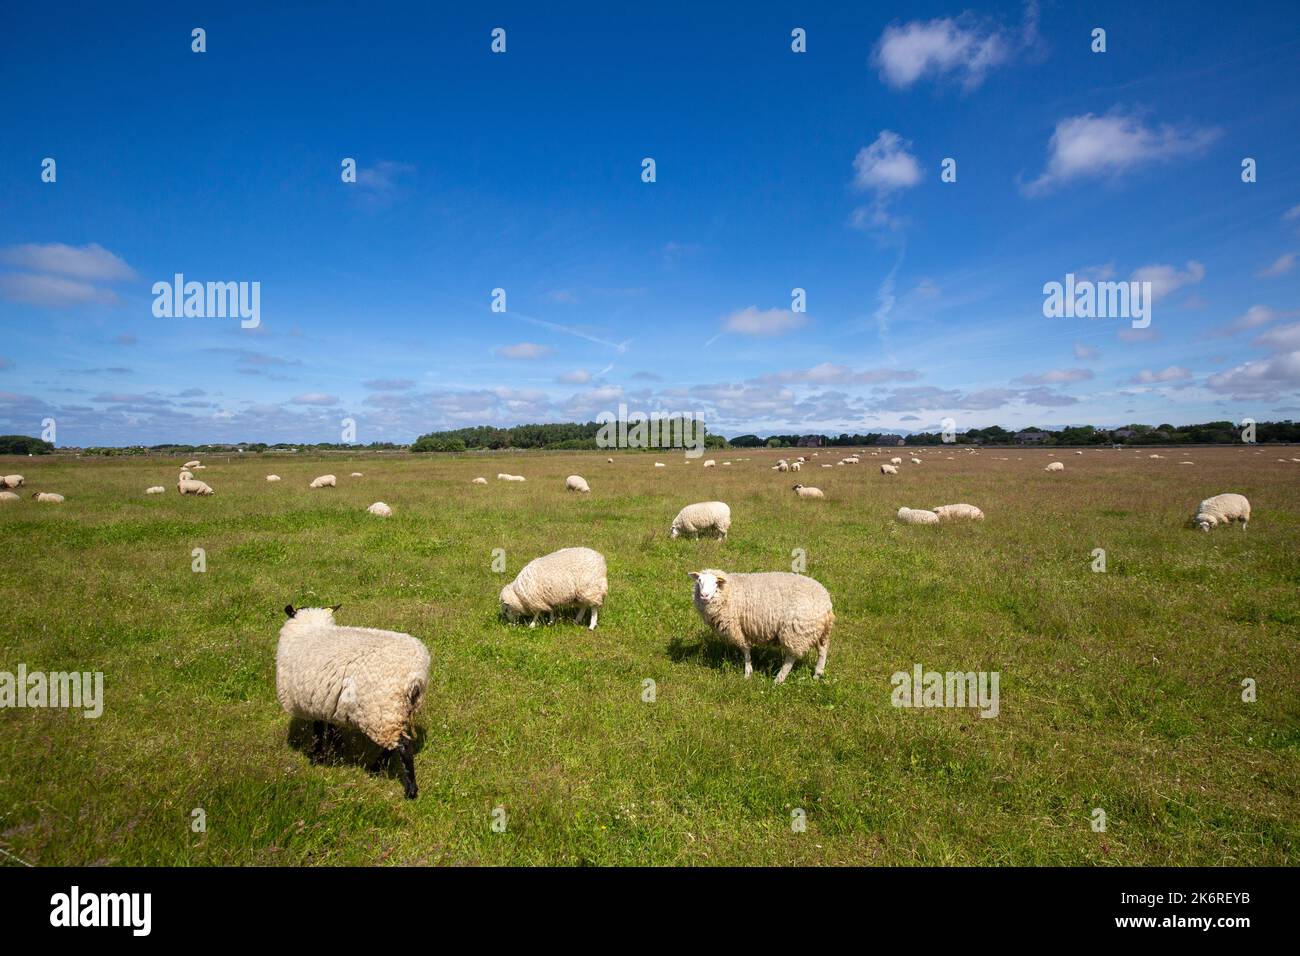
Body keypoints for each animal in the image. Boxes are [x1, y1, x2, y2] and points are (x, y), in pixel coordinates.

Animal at [275, 606, 431, 801]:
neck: (309, 629)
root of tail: (415, 676)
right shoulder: (327, 701)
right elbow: (330, 728)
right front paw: (335, 748)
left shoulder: (312, 704)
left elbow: (318, 731)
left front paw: (316, 758)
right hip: (398, 711)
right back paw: (376, 768)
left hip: (382, 710)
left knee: (404, 746)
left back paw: (409, 790)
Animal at [691, 572, 832, 686]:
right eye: (699, 581)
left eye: (716, 582)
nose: (704, 595)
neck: (729, 591)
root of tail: (826, 602)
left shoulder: (737, 628)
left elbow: (745, 649)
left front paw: (748, 672)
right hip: (819, 631)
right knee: (822, 650)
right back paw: (817, 674)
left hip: (796, 631)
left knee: (791, 657)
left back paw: (779, 679)